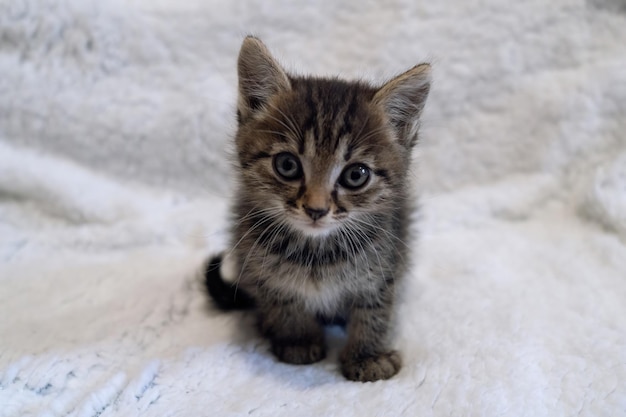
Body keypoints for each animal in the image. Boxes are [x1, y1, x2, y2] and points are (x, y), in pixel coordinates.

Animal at [205, 35, 428, 380]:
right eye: (287, 165)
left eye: (356, 175)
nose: (316, 209)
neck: (317, 253)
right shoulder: (259, 266)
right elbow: (284, 303)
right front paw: (299, 341)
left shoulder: (386, 263)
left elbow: (375, 310)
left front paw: (367, 356)